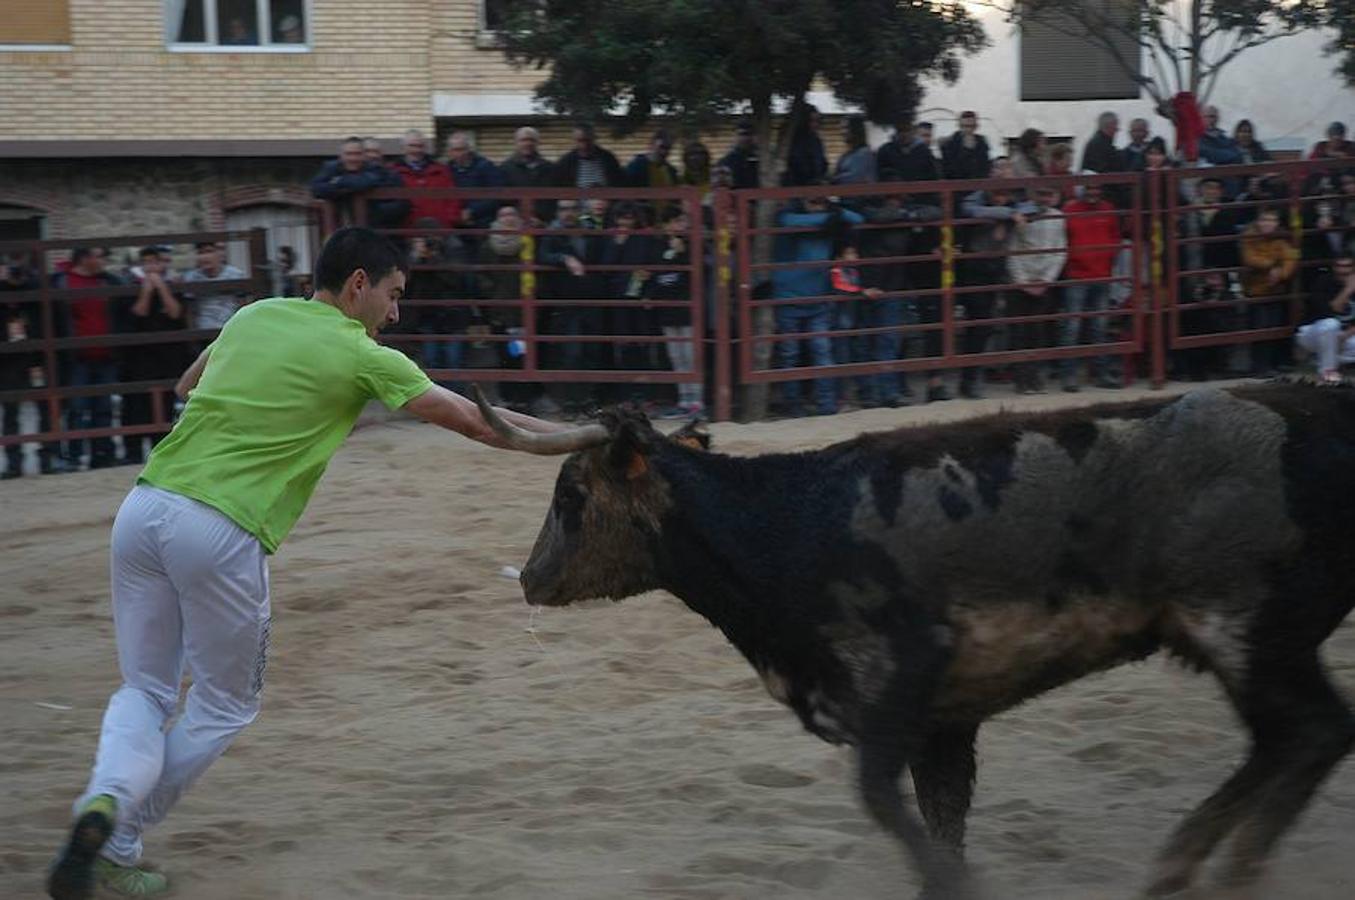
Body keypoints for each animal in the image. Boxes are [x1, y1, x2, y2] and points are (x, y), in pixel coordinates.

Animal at [474, 382, 1355, 894]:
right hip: (1256, 639)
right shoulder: (944, 722)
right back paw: (1184, 865)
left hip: (1250, 627)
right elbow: (940, 820)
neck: (789, 525)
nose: (530, 577)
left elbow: (883, 802)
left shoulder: (902, 681)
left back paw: (1223, 871)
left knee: (1311, 731)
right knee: (1289, 740)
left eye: (570, 493)